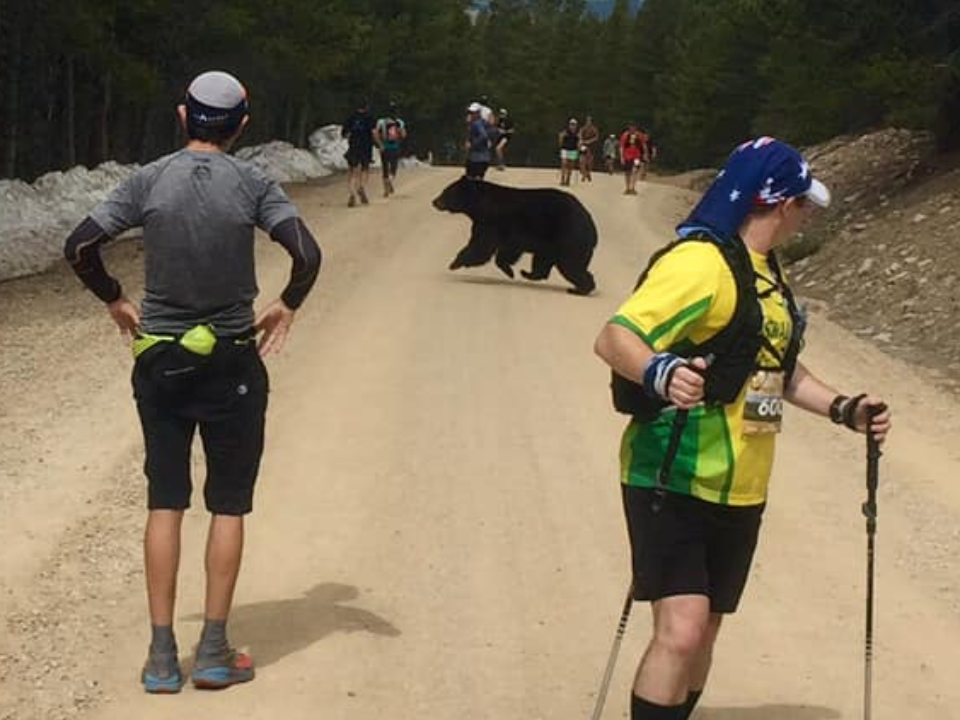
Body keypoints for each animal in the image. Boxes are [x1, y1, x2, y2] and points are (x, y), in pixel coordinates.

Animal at [432, 177, 596, 296]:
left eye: (446, 191)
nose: (434, 201)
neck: (480, 204)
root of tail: (592, 226)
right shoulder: (508, 233)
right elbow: (506, 251)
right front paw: (509, 271)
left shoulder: (491, 221)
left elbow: (482, 246)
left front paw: (455, 262)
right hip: (550, 243)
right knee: (543, 261)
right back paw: (528, 273)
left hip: (569, 238)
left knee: (571, 265)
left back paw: (579, 289)